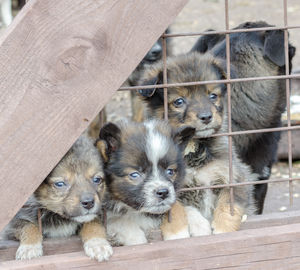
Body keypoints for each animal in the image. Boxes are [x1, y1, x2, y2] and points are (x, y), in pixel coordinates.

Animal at [138, 53, 255, 235]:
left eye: (213, 95)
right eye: (179, 101)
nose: (206, 117)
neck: (193, 147)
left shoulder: (235, 176)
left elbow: (229, 205)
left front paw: (222, 230)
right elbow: (184, 209)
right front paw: (200, 228)